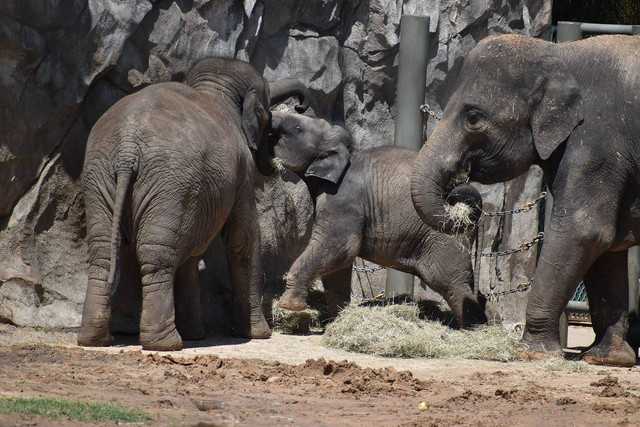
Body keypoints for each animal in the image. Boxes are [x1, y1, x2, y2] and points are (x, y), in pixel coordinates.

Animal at [77, 56, 310, 352]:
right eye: (267, 115)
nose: (300, 106)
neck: (215, 90)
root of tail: (128, 147)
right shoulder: (242, 170)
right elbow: (242, 237)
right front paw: (259, 334)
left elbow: (191, 252)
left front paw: (195, 335)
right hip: (169, 181)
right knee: (157, 255)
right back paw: (165, 344)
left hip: (100, 173)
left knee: (104, 252)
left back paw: (96, 340)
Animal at [264, 111, 496, 328]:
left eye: (297, 128)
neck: (348, 152)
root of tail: (474, 211)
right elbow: (339, 265)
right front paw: (338, 322)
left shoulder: (342, 200)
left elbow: (340, 248)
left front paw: (289, 307)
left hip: (445, 238)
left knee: (450, 282)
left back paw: (471, 330)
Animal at [410, 34, 640, 368]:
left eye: (474, 117)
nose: (456, 191)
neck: (560, 53)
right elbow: (608, 245)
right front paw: (606, 358)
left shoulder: (598, 142)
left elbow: (585, 230)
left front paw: (530, 353)